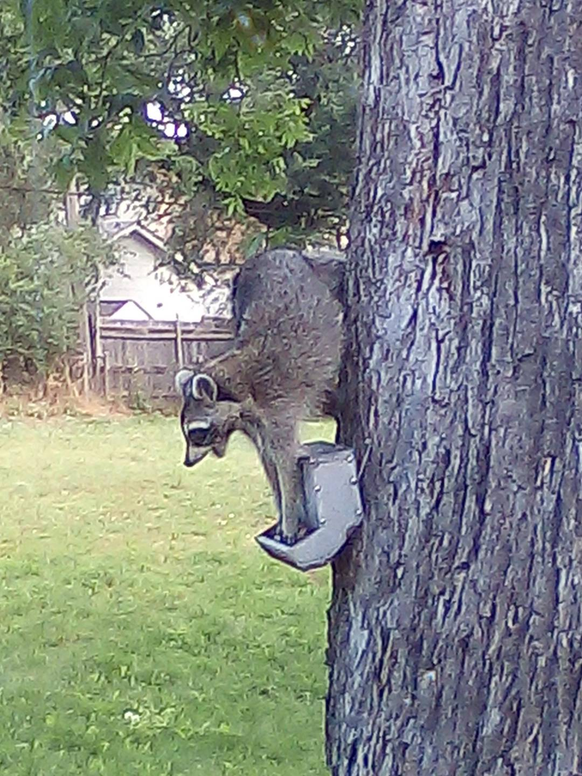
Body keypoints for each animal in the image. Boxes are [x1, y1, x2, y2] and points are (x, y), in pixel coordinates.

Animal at [176, 246, 344, 544]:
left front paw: (289, 517)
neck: (237, 388)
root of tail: (275, 252)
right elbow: (267, 459)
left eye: (196, 433)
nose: (187, 461)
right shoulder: (254, 421)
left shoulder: (278, 406)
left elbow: (286, 459)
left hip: (324, 272)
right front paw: (282, 512)